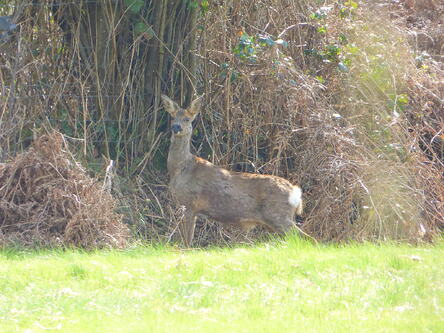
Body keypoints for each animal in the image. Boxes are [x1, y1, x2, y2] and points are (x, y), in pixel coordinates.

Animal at [161, 94, 304, 245]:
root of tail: (295, 191)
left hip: (278, 215)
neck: (180, 169)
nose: (176, 127)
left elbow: (187, 240)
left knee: (303, 237)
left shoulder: (189, 203)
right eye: (172, 117)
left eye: (187, 119)